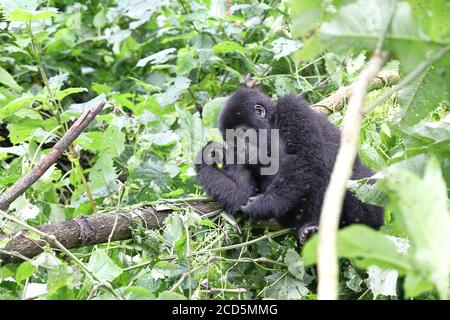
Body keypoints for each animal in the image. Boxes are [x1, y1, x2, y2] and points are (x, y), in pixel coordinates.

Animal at [195, 87, 382, 242]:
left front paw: (262, 205)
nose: (238, 148)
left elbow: (305, 159)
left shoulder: (292, 107)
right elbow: (241, 194)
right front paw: (206, 157)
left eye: (241, 134)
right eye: (231, 140)